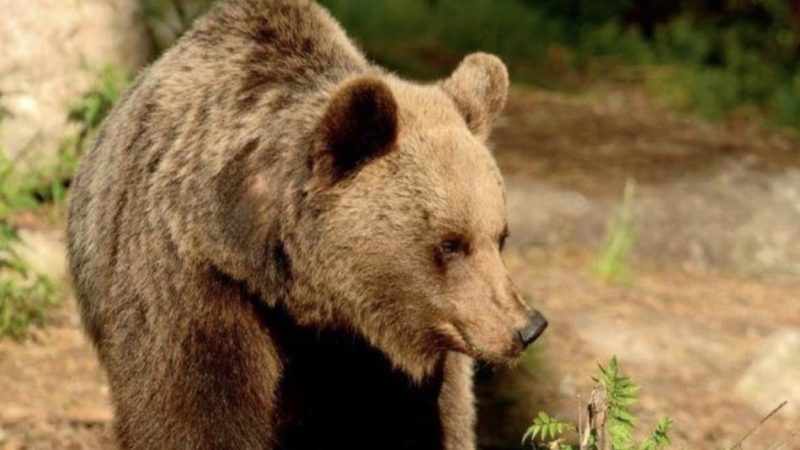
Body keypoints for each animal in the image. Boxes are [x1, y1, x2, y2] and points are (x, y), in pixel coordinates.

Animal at [66, 0, 548, 449]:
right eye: (450, 243)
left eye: (500, 237)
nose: (527, 327)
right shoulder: (194, 283)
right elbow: (194, 413)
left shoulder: (385, 361)